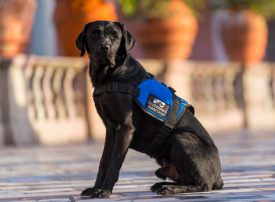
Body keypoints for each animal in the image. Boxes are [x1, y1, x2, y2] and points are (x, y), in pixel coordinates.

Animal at [76, 20, 224, 199]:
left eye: (115, 36)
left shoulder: (125, 129)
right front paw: (95, 188)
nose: (104, 48)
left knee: (200, 184)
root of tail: (218, 177)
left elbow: (113, 164)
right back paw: (162, 185)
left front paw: (104, 191)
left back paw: (169, 189)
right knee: (186, 180)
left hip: (181, 139)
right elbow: (103, 162)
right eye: (93, 34)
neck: (110, 77)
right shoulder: (110, 132)